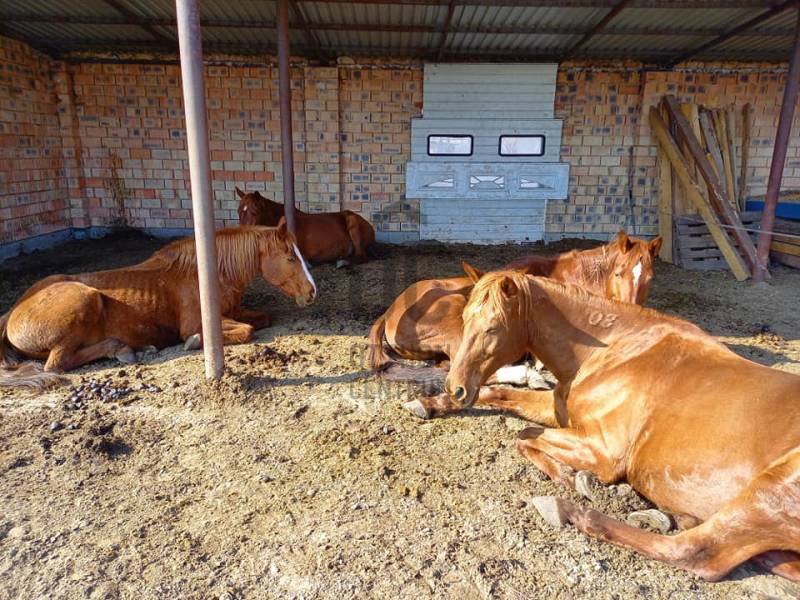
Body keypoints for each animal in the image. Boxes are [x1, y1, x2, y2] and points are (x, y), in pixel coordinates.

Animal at [0, 222, 316, 389]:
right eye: (290, 258)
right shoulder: (199, 321)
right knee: (58, 363)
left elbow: (261, 319)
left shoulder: (233, 311)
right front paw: (194, 341)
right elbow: (246, 330)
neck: (205, 274)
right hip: (84, 300)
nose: (312, 292)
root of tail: (13, 312)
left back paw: (137, 348)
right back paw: (125, 350)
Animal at [441, 270, 800, 583]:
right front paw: (434, 403)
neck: (616, 350)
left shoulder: (603, 451)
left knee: (695, 552)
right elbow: (501, 395)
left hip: (768, 490)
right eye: (465, 319)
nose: (455, 386)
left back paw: (574, 511)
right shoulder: (558, 411)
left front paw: (571, 477)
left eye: (493, 328)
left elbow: (525, 435)